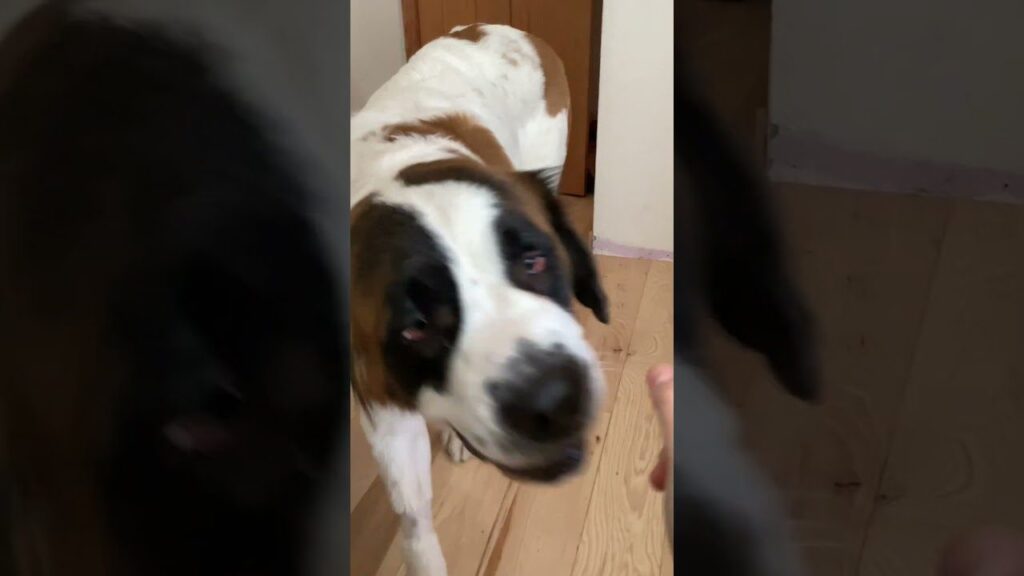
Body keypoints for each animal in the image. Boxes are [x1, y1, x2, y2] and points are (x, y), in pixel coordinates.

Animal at [350, 23, 606, 573]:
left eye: (534, 261)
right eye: (416, 325)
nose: (551, 396)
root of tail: (499, 27)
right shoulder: (383, 407)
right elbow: (415, 522)